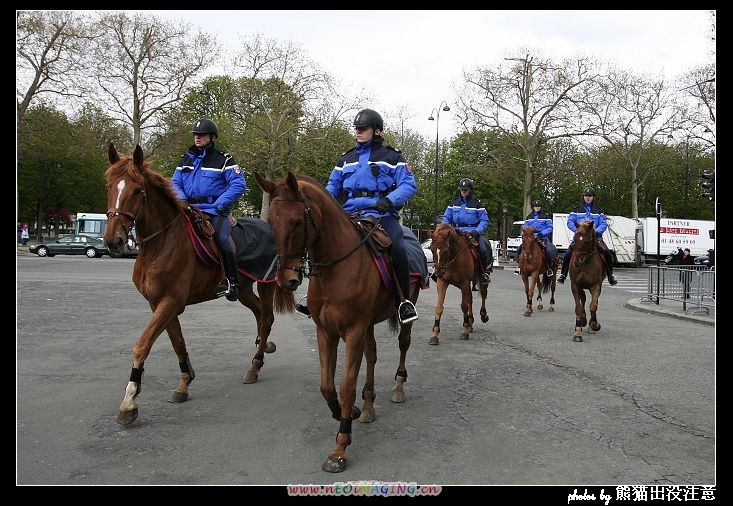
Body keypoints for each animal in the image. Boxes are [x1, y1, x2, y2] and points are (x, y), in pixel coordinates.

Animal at [102, 144, 294, 424]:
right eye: (109, 187)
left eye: (137, 190)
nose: (112, 241)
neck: (160, 244)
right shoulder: (158, 304)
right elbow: (178, 343)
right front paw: (184, 383)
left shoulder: (171, 302)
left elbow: (142, 345)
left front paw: (129, 402)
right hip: (243, 289)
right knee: (260, 314)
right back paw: (264, 344)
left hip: (266, 283)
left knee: (267, 317)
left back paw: (255, 366)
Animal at [254, 172, 424, 472]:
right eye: (271, 221)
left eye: (297, 222)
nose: (286, 280)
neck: (336, 269)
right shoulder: (326, 332)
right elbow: (327, 385)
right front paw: (348, 412)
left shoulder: (353, 332)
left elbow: (346, 386)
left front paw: (340, 446)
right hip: (368, 325)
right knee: (372, 355)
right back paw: (368, 405)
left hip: (402, 315)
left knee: (403, 344)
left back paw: (398, 387)